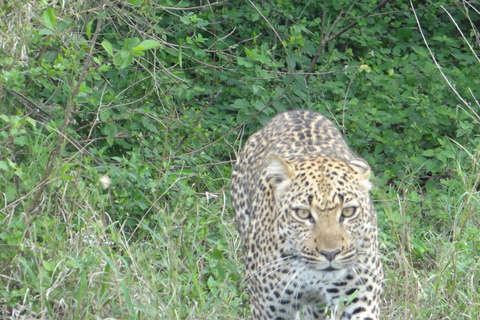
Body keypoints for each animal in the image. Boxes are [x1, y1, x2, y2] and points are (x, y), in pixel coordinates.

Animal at [231, 110, 384, 320]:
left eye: (348, 211)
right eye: (303, 213)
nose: (330, 253)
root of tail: (295, 111)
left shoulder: (360, 301)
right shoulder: (270, 309)